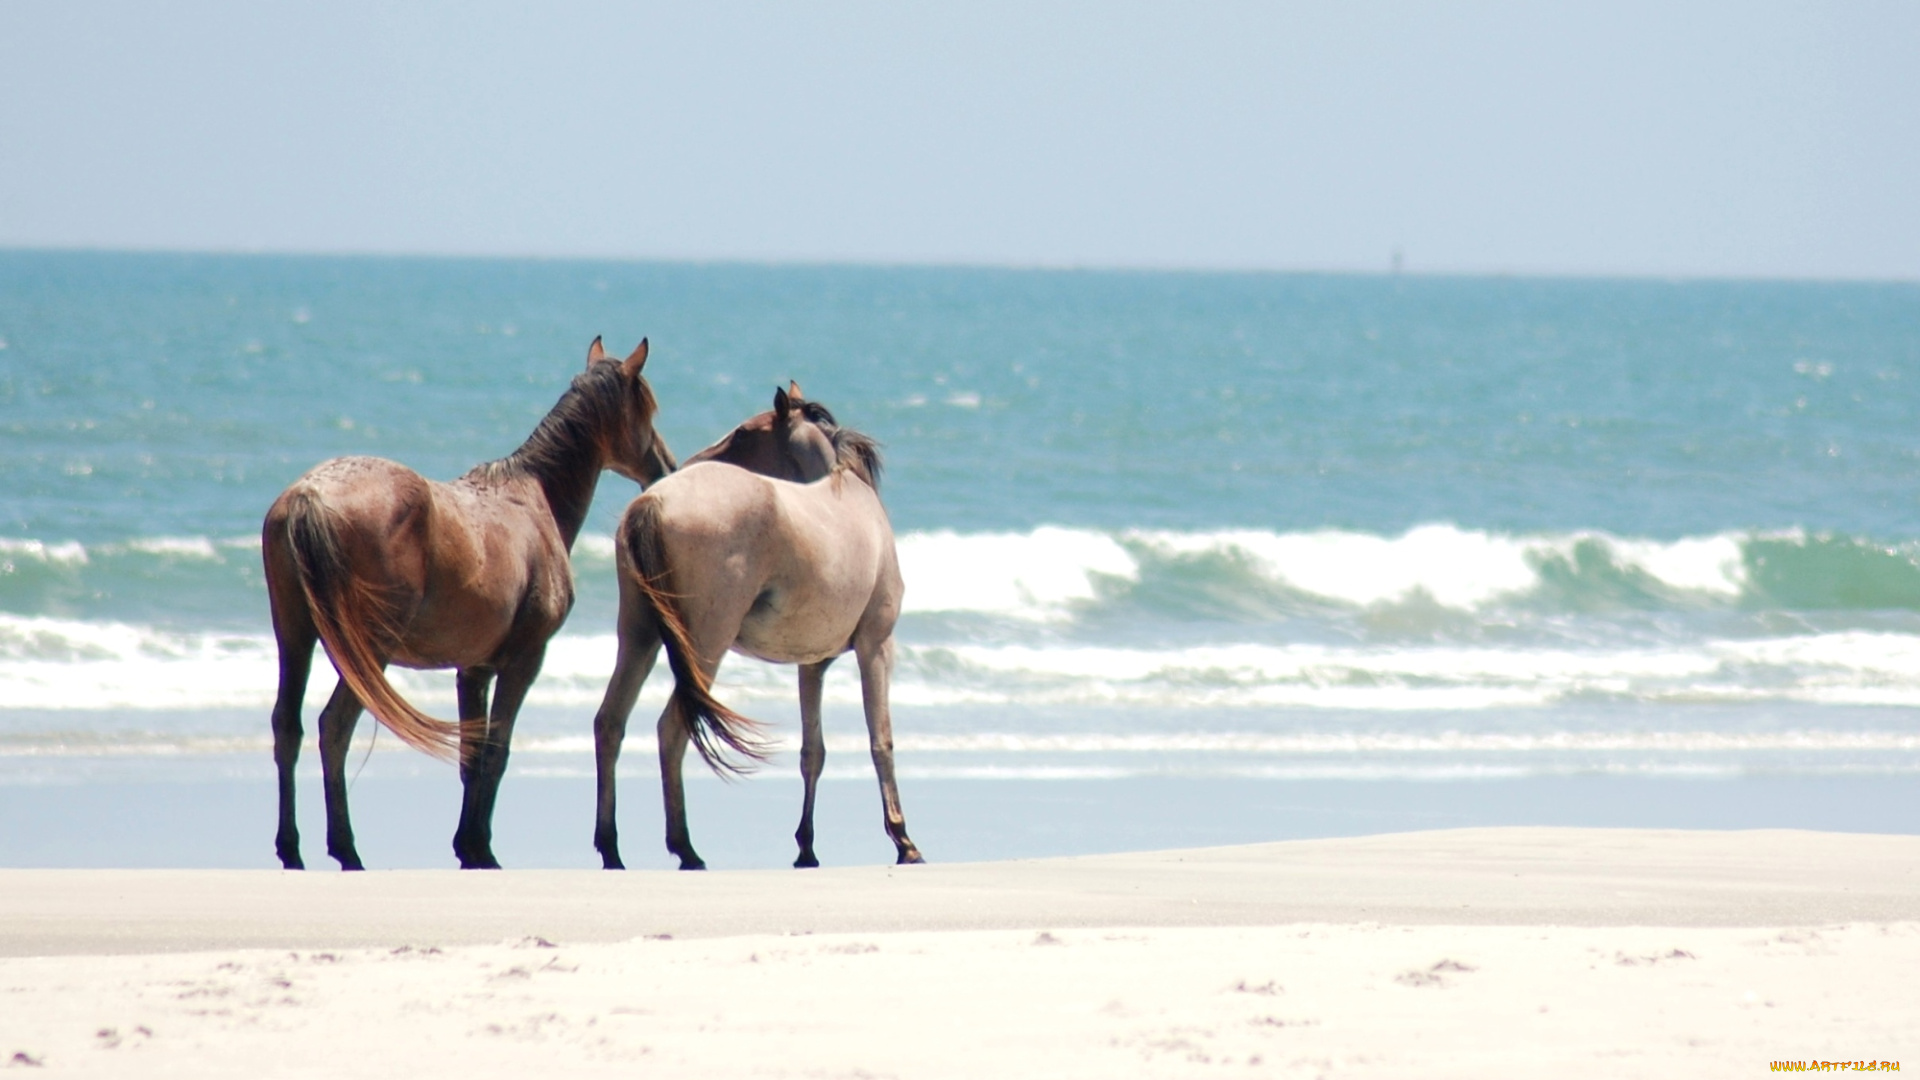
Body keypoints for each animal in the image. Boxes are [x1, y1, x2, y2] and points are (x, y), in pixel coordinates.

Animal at [263, 336, 668, 864]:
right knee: (335, 728)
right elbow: (495, 750)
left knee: (287, 728)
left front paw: (467, 845)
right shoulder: (523, 660)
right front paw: (480, 847)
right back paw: (346, 849)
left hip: (294, 637)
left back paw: (291, 849)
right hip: (367, 651)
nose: (664, 468)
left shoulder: (473, 669)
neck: (532, 498)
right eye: (647, 408)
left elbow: (471, 756)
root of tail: (308, 495)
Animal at [587, 384, 925, 864]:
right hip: (705, 646)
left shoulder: (812, 665)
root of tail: (652, 502)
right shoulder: (876, 647)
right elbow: (881, 741)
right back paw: (685, 849)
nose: (679, 463)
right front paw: (903, 840)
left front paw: (806, 847)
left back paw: (611, 849)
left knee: (610, 723)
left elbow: (813, 752)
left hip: (639, 639)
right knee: (672, 728)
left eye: (745, 432)